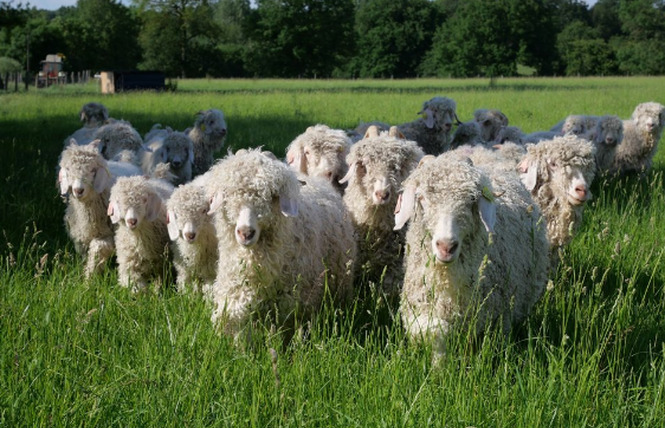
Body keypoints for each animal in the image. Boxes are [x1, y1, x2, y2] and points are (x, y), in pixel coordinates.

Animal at [57, 141, 142, 277]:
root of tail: (127, 160)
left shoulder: (109, 235)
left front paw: (89, 276)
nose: (78, 190)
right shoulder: (81, 236)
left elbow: (98, 248)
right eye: (68, 169)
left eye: (93, 170)